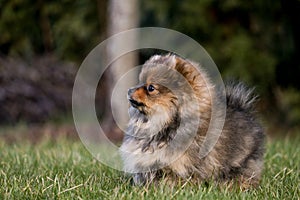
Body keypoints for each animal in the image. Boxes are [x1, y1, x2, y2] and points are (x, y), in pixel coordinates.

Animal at [119, 54, 264, 188]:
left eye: (150, 88)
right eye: (140, 82)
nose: (129, 90)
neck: (167, 122)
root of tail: (242, 108)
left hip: (242, 162)